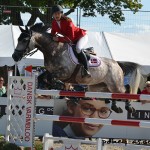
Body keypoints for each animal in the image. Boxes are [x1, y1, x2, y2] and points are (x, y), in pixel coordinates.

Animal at [11, 23, 141, 112]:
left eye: (25, 40)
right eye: (18, 39)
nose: (14, 56)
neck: (53, 50)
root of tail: (116, 63)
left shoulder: (64, 73)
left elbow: (53, 78)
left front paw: (61, 87)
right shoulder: (49, 71)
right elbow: (43, 77)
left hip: (115, 83)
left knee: (126, 89)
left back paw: (129, 108)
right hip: (99, 86)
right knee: (112, 94)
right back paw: (115, 107)